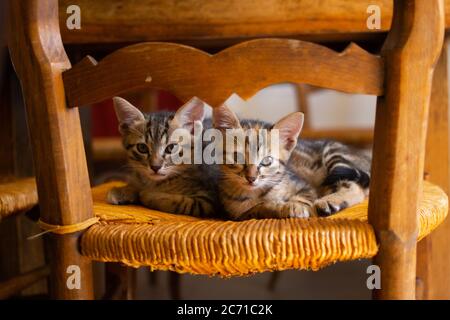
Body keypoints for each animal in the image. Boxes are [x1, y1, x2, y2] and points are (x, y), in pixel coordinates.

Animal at [213, 105, 370, 220]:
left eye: (267, 160)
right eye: (237, 157)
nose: (251, 178)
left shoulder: (305, 186)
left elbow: (303, 198)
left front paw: (296, 206)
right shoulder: (238, 214)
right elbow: (260, 207)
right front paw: (279, 206)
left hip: (333, 155)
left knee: (355, 187)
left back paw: (329, 202)